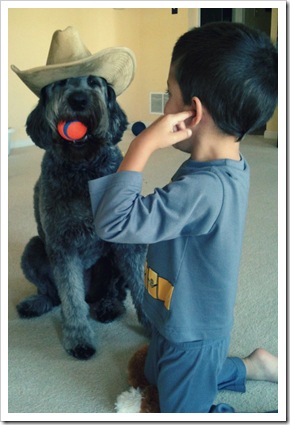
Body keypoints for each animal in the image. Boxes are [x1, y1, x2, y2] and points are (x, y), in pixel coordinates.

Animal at [17, 75, 150, 358]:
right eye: (61, 83)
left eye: (93, 81)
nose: (78, 100)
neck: (84, 168)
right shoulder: (62, 246)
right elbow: (71, 298)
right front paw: (79, 338)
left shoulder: (127, 240)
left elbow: (140, 288)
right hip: (33, 249)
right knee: (55, 295)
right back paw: (36, 303)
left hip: (110, 264)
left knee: (115, 292)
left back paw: (108, 306)